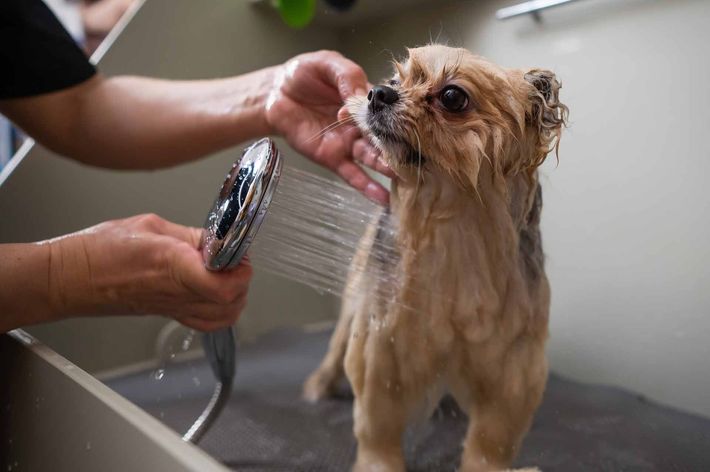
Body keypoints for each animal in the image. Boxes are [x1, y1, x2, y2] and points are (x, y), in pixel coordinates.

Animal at [304, 45, 568, 472]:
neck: (454, 226)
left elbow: (493, 436)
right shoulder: (383, 339)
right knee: (337, 344)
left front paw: (484, 465)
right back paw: (319, 384)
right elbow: (377, 420)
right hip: (353, 299)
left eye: (452, 96)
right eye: (394, 80)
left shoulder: (515, 361)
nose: (378, 93)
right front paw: (378, 463)